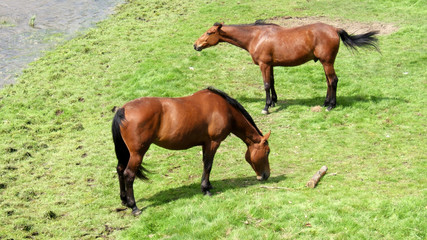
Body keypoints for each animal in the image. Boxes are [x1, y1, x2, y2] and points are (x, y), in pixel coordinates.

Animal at [112, 86, 272, 216]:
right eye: (267, 152)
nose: (266, 175)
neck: (225, 109)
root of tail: (122, 110)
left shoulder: (205, 144)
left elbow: (206, 165)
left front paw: (208, 185)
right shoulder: (213, 143)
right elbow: (208, 165)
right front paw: (206, 189)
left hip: (127, 153)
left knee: (120, 170)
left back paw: (124, 200)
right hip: (137, 153)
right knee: (128, 174)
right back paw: (134, 206)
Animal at [192, 20, 380, 113]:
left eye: (209, 32)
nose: (195, 45)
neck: (256, 36)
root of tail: (334, 29)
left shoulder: (264, 65)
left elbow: (266, 84)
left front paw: (266, 107)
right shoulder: (270, 65)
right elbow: (272, 83)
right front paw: (273, 102)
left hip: (327, 62)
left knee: (333, 80)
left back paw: (331, 105)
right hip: (326, 63)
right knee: (328, 81)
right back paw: (326, 101)